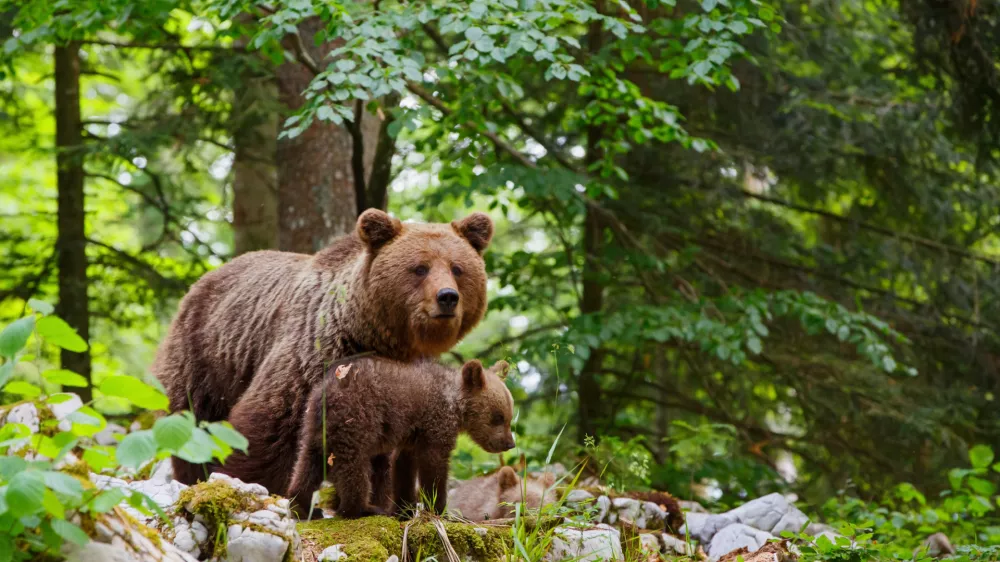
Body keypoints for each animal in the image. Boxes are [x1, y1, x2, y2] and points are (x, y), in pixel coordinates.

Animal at [151, 209, 494, 488]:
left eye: (458, 268)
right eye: (420, 267)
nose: (447, 297)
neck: (376, 336)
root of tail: (206, 276)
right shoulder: (315, 353)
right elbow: (270, 423)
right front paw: (245, 479)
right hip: (206, 352)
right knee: (193, 419)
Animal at [285, 357, 515, 519]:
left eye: (509, 415)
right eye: (498, 417)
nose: (510, 443)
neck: (455, 405)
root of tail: (326, 394)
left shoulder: (411, 437)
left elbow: (403, 466)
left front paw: (404, 509)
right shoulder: (435, 424)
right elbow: (434, 465)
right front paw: (438, 508)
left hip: (314, 427)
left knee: (308, 463)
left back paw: (302, 506)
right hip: (356, 418)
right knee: (354, 466)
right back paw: (362, 508)